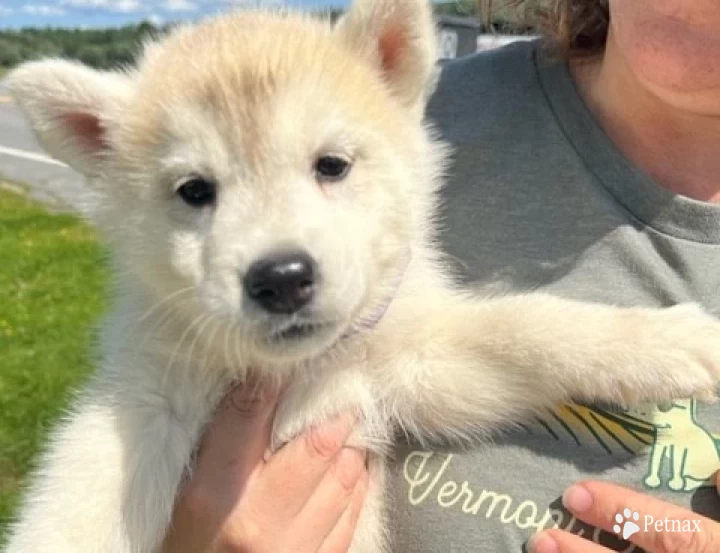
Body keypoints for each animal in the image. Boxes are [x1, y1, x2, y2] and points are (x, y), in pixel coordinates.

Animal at [7, 0, 720, 548]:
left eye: (332, 165)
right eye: (194, 190)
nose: (281, 277)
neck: (296, 372)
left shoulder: (415, 369)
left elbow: (527, 326)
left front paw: (666, 341)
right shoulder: (144, 405)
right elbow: (71, 508)